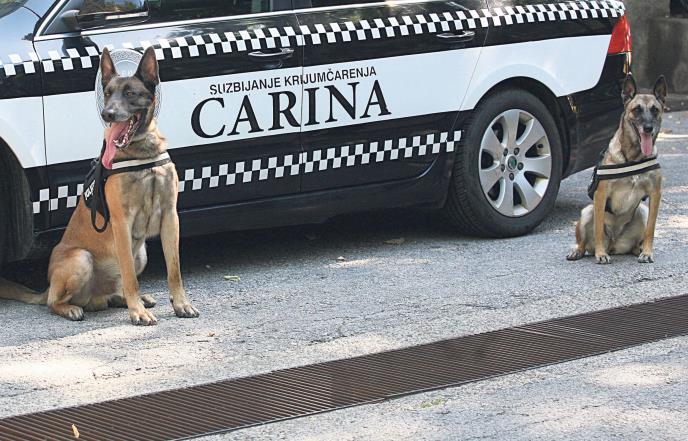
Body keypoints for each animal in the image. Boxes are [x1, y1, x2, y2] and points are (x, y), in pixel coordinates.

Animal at [0, 47, 198, 324]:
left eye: (130, 94)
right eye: (107, 94)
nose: (107, 114)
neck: (141, 152)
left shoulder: (170, 217)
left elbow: (174, 269)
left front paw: (181, 304)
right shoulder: (122, 223)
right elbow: (129, 275)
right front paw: (137, 312)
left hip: (142, 253)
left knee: (114, 291)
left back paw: (125, 299)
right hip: (81, 259)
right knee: (54, 303)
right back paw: (75, 308)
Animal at [567, 74, 667, 264]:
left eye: (655, 110)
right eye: (637, 110)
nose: (648, 128)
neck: (633, 157)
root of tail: (614, 244)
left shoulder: (655, 194)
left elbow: (650, 229)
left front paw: (647, 252)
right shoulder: (601, 194)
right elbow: (598, 228)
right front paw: (600, 254)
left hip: (642, 211)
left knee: (637, 241)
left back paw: (638, 250)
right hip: (587, 212)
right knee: (583, 242)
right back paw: (578, 251)